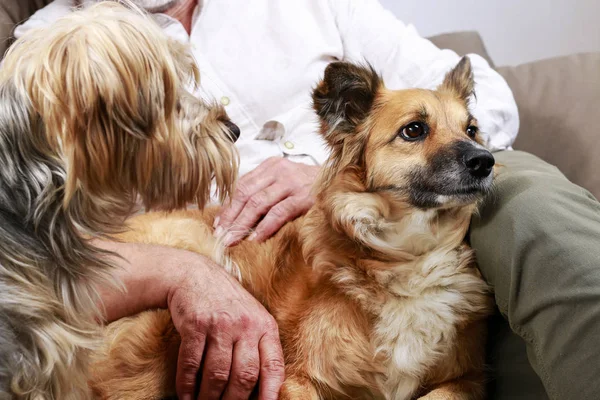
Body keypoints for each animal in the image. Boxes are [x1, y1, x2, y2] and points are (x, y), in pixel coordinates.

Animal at [89, 57, 492, 400]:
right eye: (414, 130)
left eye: (472, 129)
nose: (484, 161)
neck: (407, 256)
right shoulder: (298, 377)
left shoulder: (469, 378)